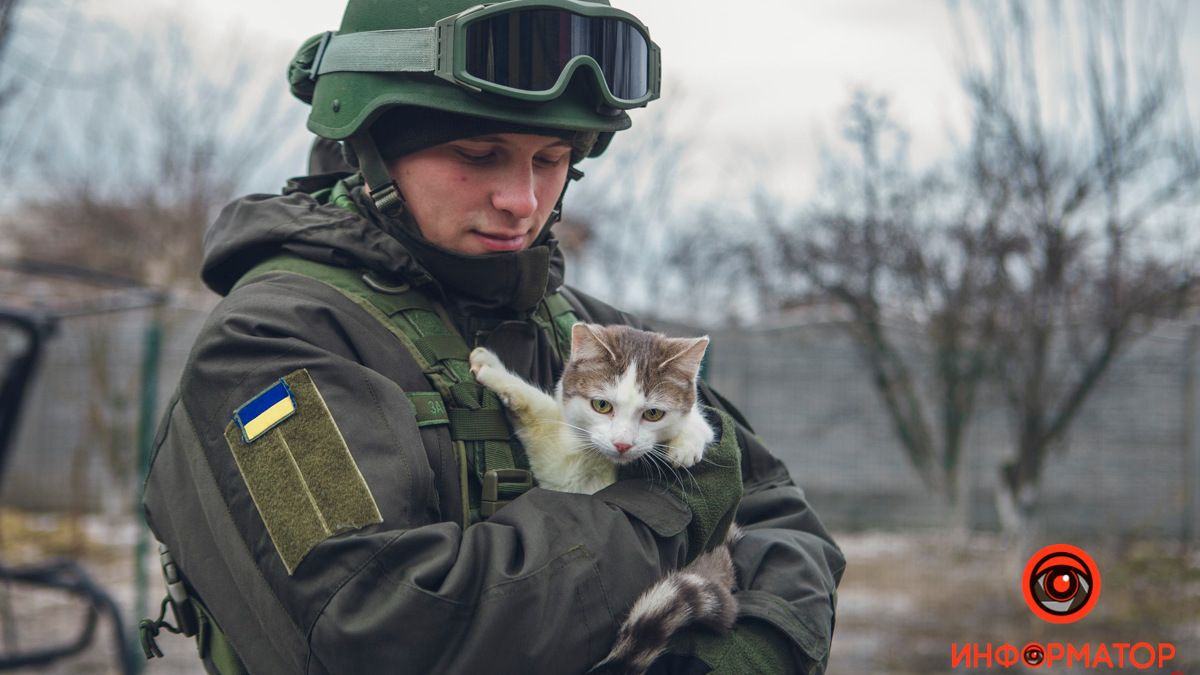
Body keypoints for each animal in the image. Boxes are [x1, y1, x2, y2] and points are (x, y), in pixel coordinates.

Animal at [470, 319, 739, 672]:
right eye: (601, 405)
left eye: (653, 414)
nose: (622, 444)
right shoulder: (567, 470)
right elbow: (544, 417)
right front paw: (495, 369)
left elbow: (695, 422)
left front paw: (687, 441)